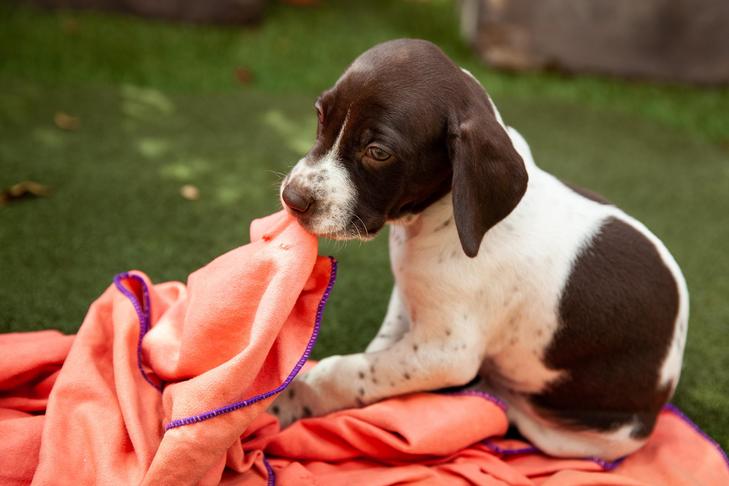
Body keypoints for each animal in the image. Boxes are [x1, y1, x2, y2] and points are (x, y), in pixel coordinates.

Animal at [268, 39, 688, 462]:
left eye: (378, 152)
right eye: (320, 115)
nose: (293, 198)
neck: (433, 220)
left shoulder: (446, 350)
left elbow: (345, 370)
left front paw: (291, 398)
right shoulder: (407, 301)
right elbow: (376, 354)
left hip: (578, 436)